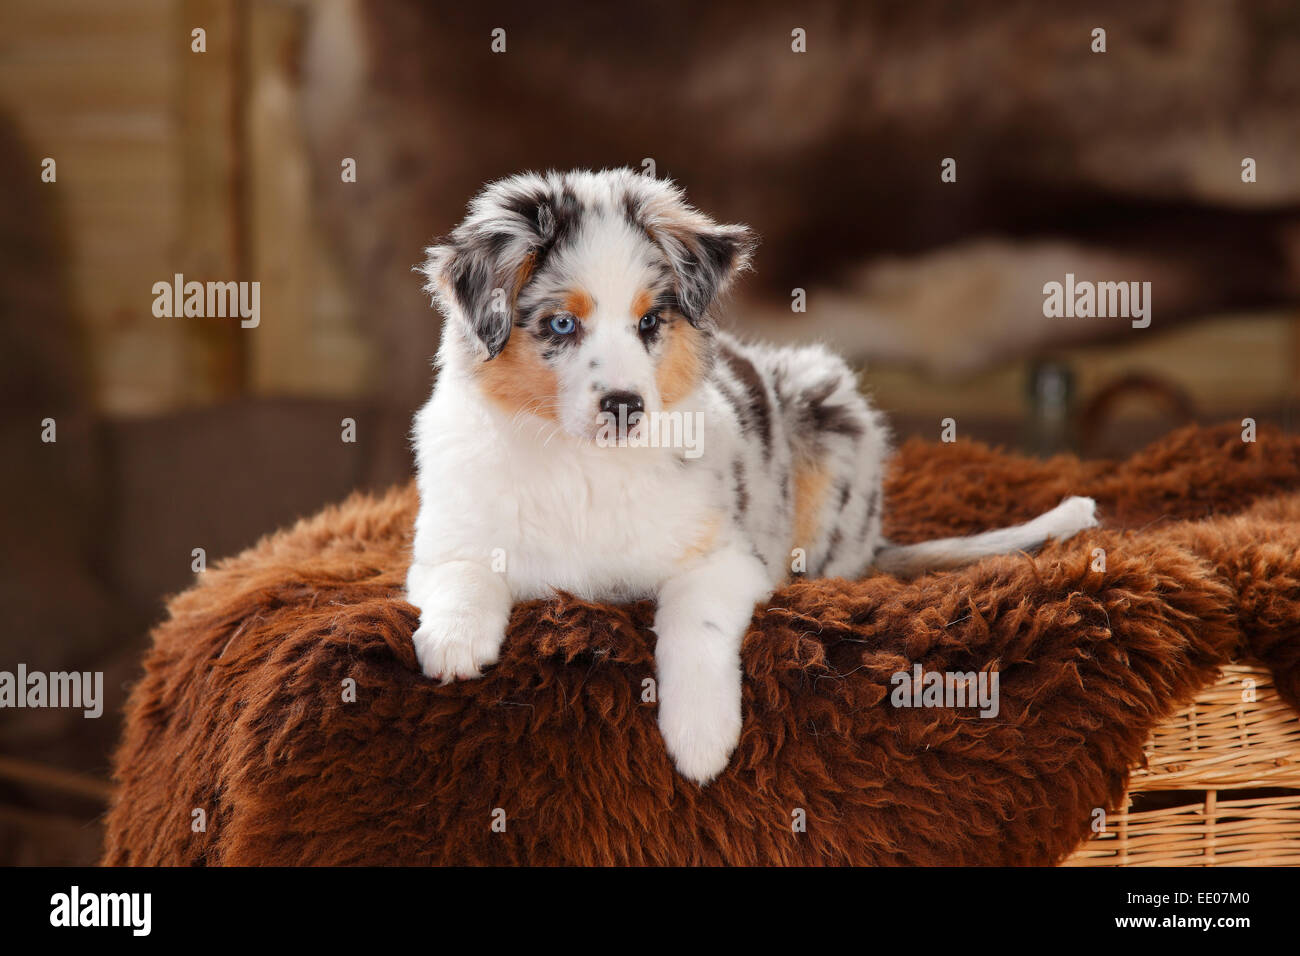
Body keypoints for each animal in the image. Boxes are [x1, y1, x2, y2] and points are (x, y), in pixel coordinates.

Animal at [408, 170, 1097, 785]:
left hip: (830, 416)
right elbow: (464, 573)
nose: (626, 405)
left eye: (649, 323)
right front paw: (453, 642)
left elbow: (693, 627)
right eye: (561, 324)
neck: (583, 464)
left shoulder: (726, 558)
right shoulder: (441, 541)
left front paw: (701, 743)